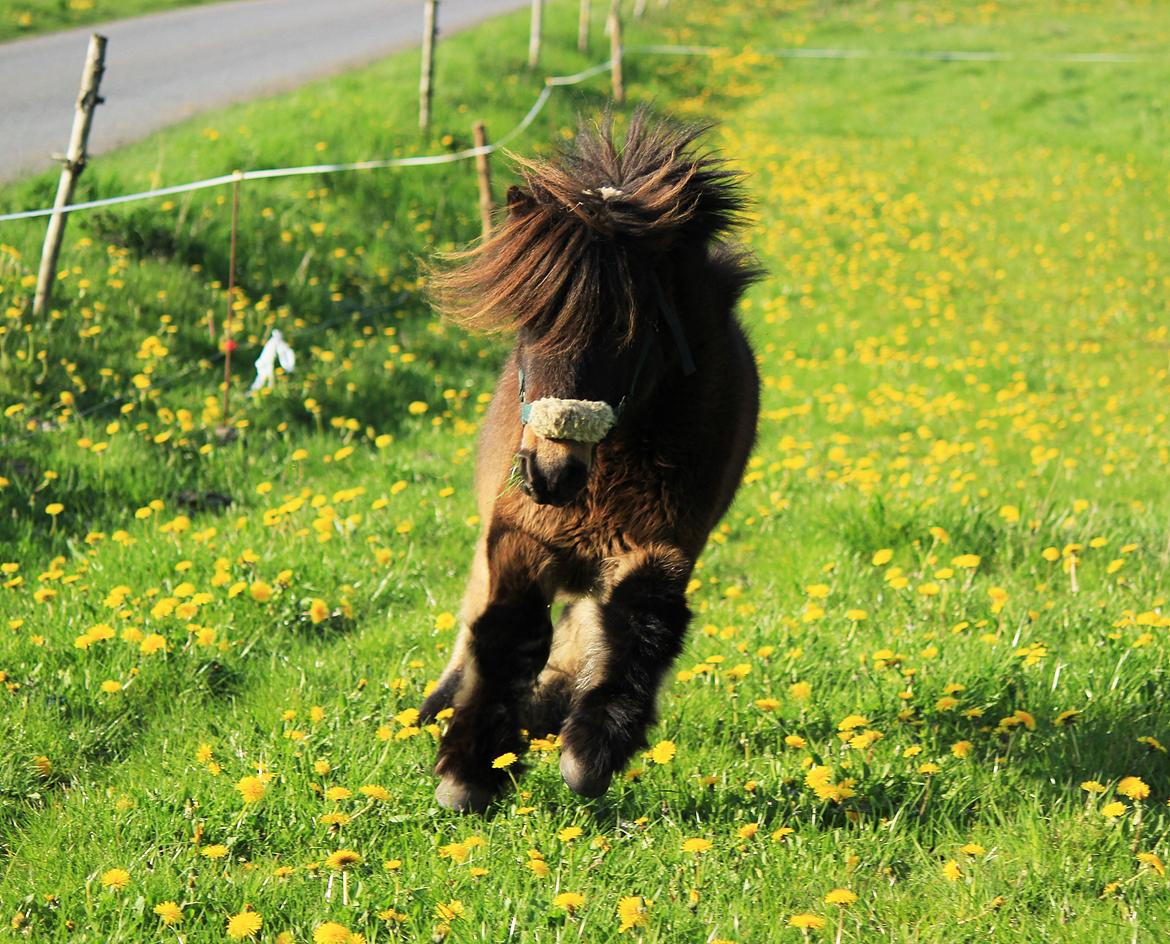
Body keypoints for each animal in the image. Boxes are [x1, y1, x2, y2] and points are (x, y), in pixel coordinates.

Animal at [418, 107, 758, 809]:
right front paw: (470, 767)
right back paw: (441, 707)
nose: (548, 473)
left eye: (632, 334)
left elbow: (641, 625)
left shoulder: (661, 545)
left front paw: (587, 751)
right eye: (529, 323)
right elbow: (508, 631)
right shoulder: (521, 533)